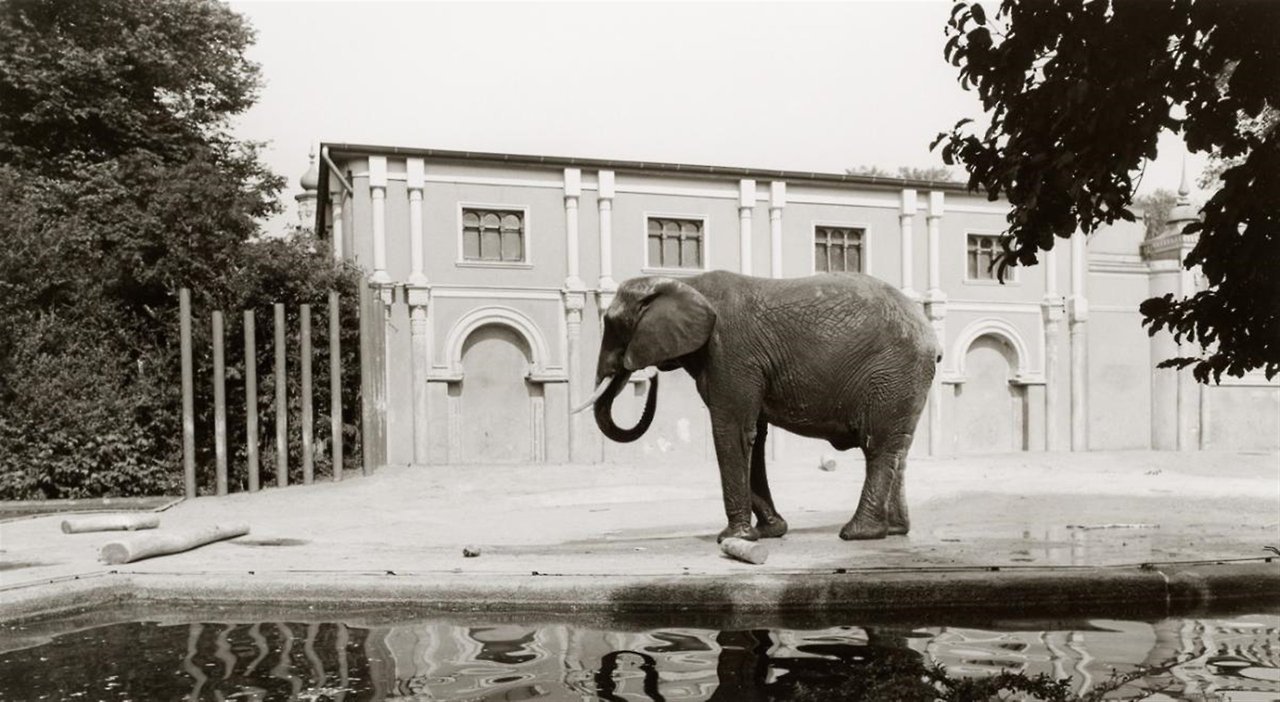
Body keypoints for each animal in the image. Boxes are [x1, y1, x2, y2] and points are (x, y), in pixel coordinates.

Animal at [581, 270, 942, 543]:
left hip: (892, 373)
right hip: (903, 380)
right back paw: (894, 530)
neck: (685, 282)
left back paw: (857, 533)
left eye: (612, 323)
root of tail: (930, 335)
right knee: (895, 449)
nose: (650, 377)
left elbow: (733, 431)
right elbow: (754, 435)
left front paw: (733, 538)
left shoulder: (730, 353)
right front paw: (771, 532)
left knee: (877, 446)